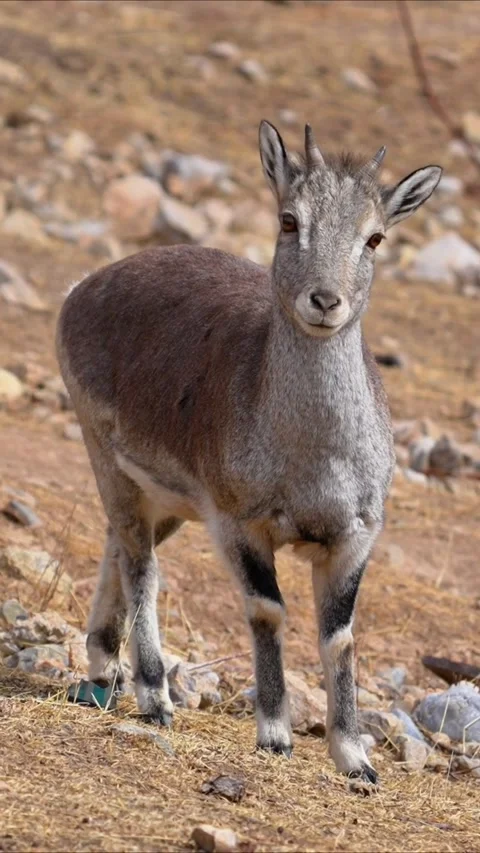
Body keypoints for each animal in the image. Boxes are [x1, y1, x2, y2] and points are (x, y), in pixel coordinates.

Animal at [56, 121, 441, 784]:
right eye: (290, 220)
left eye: (375, 237)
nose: (325, 301)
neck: (314, 463)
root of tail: (84, 288)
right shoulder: (239, 523)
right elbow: (268, 611)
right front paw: (276, 734)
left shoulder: (355, 537)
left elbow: (339, 636)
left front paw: (356, 760)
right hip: (105, 454)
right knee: (140, 562)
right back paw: (153, 693)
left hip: (167, 498)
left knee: (120, 544)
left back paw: (105, 665)